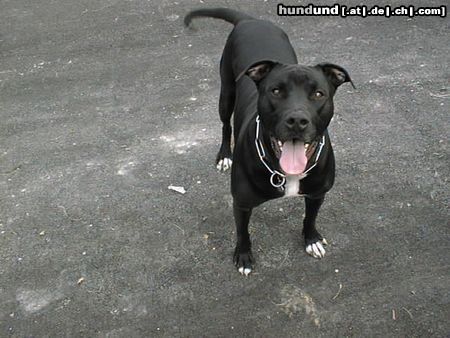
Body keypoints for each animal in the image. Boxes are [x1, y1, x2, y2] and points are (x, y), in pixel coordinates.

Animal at [185, 7, 354, 276]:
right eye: (276, 91)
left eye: (318, 94)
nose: (297, 120)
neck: (286, 173)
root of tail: (250, 20)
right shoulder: (241, 203)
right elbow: (242, 232)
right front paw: (244, 257)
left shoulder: (318, 193)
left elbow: (310, 217)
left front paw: (311, 239)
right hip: (226, 92)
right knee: (225, 125)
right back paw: (224, 156)